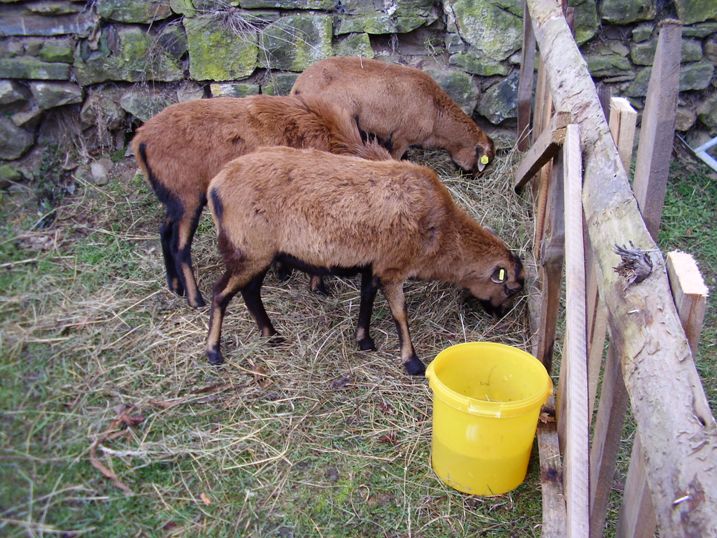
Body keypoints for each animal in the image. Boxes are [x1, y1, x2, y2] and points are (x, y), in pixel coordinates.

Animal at [130, 95, 391, 308]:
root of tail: (140, 140)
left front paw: (284, 272)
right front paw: (315, 286)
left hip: (173, 201)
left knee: (164, 230)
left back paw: (175, 286)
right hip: (188, 200)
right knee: (180, 246)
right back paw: (195, 299)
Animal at [205, 147, 524, 375]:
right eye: (509, 288)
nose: (500, 316)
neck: (443, 233)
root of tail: (215, 186)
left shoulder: (375, 265)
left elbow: (367, 298)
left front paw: (364, 340)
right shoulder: (394, 267)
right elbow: (400, 313)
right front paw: (412, 362)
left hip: (259, 254)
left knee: (250, 292)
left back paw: (271, 335)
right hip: (248, 249)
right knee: (220, 293)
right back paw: (214, 352)